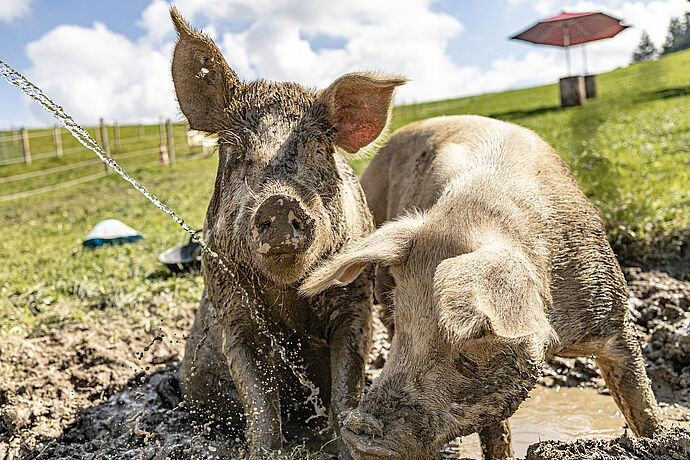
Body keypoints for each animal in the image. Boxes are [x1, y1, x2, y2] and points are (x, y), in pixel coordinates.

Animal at [167, 8, 404, 460]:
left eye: (317, 149)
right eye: (235, 153)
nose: (278, 202)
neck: (289, 294)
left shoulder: (355, 303)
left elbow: (346, 386)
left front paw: (345, 445)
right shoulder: (232, 312)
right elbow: (259, 399)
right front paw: (265, 451)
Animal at [302, 115, 668, 460]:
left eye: (474, 334)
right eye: (406, 321)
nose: (360, 429)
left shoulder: (613, 314)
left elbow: (641, 399)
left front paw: (661, 439)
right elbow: (493, 431)